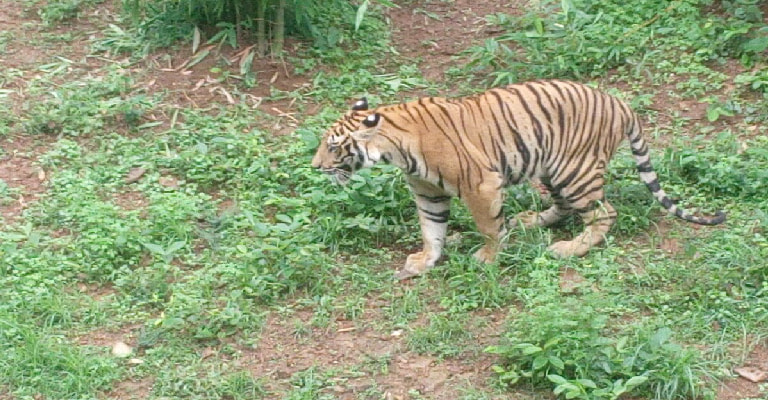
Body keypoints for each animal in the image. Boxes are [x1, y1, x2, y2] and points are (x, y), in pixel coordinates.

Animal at [308, 79, 724, 280]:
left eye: (333, 146)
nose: (314, 166)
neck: (395, 148)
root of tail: (620, 102)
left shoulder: (480, 185)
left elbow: (489, 227)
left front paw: (488, 258)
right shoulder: (428, 193)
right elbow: (432, 229)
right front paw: (426, 261)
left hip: (575, 170)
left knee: (604, 213)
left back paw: (569, 249)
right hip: (553, 168)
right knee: (563, 206)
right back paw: (530, 222)